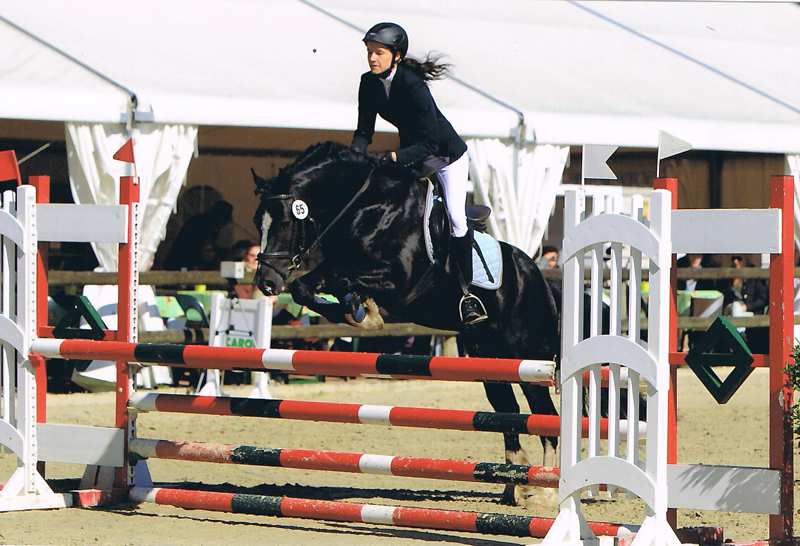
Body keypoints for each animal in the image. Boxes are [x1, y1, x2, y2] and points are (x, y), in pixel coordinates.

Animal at [252, 141, 561, 508]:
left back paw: (546, 493)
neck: (365, 206)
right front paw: (358, 311)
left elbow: (341, 279)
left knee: (544, 415)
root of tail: (540, 280)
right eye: (258, 222)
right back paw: (514, 485)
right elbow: (307, 286)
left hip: (530, 362)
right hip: (489, 360)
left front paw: (365, 313)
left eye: (285, 223)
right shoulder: (337, 266)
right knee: (508, 412)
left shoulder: (398, 281)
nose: (266, 282)